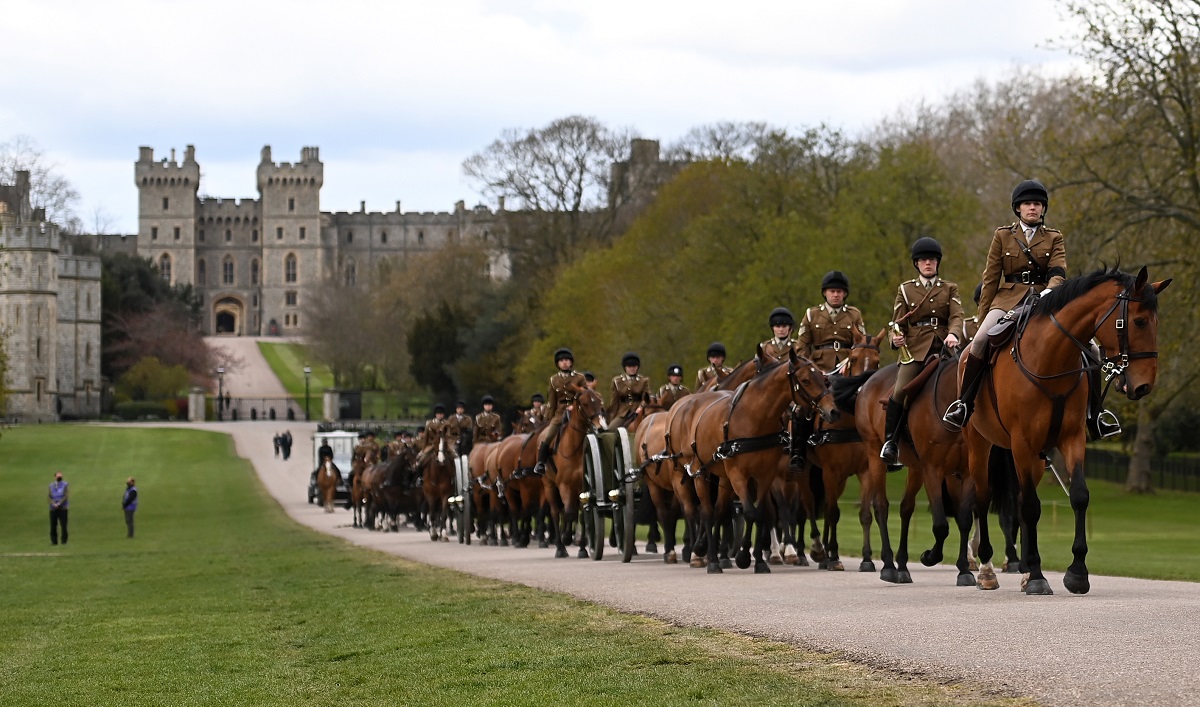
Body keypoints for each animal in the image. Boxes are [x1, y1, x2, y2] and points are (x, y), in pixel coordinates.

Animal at [542, 386, 609, 556]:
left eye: (600, 402)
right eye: (584, 403)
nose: (600, 427)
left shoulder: (583, 487)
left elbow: (582, 514)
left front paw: (582, 546)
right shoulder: (565, 486)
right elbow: (569, 512)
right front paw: (566, 537)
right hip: (549, 486)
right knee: (555, 512)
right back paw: (560, 547)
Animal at [691, 348, 840, 573]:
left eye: (824, 379)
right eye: (805, 380)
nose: (832, 411)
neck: (754, 419)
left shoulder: (768, 475)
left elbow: (764, 513)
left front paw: (762, 559)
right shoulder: (743, 475)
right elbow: (754, 513)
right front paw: (746, 556)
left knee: (719, 511)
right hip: (702, 473)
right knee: (707, 513)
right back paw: (710, 557)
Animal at [964, 267, 1171, 592]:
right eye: (1139, 321)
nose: (1144, 385)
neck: (1051, 358)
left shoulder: (1071, 438)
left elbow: (1078, 496)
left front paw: (1076, 573)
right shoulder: (1022, 442)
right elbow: (1031, 507)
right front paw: (1037, 577)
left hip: (1036, 458)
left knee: (1018, 501)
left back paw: (1022, 570)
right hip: (980, 445)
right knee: (982, 499)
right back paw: (985, 568)